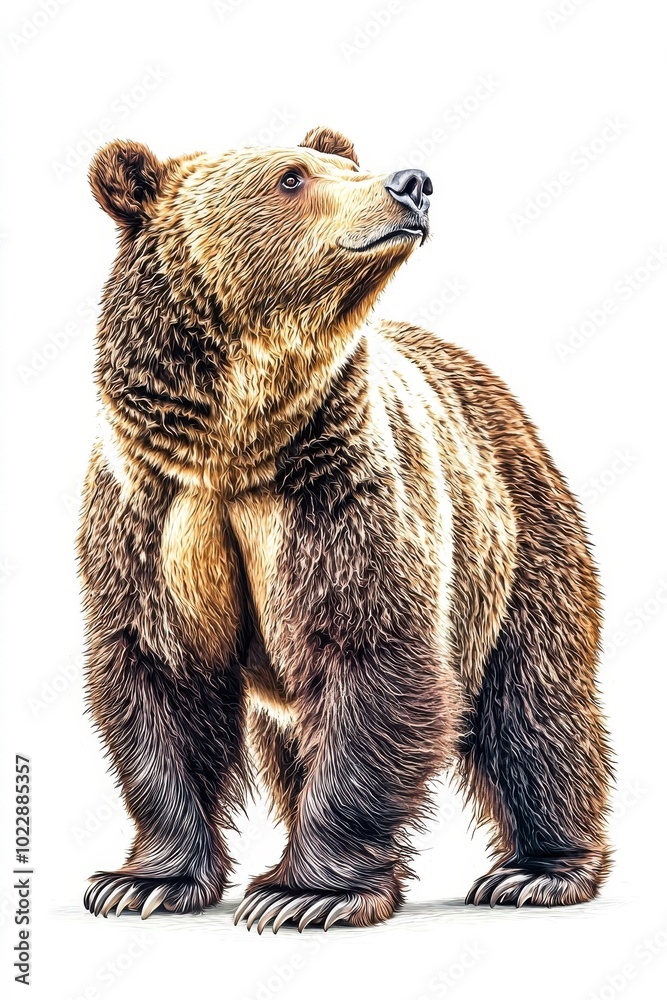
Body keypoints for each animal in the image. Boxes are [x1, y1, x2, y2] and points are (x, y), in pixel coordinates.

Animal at [79, 125, 612, 931]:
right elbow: (160, 678)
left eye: (342, 164)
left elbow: (374, 660)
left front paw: (305, 893)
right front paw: (142, 883)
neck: (236, 445)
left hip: (513, 534)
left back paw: (537, 872)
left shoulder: (342, 498)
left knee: (533, 701)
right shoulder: (154, 512)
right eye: (291, 177)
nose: (411, 183)